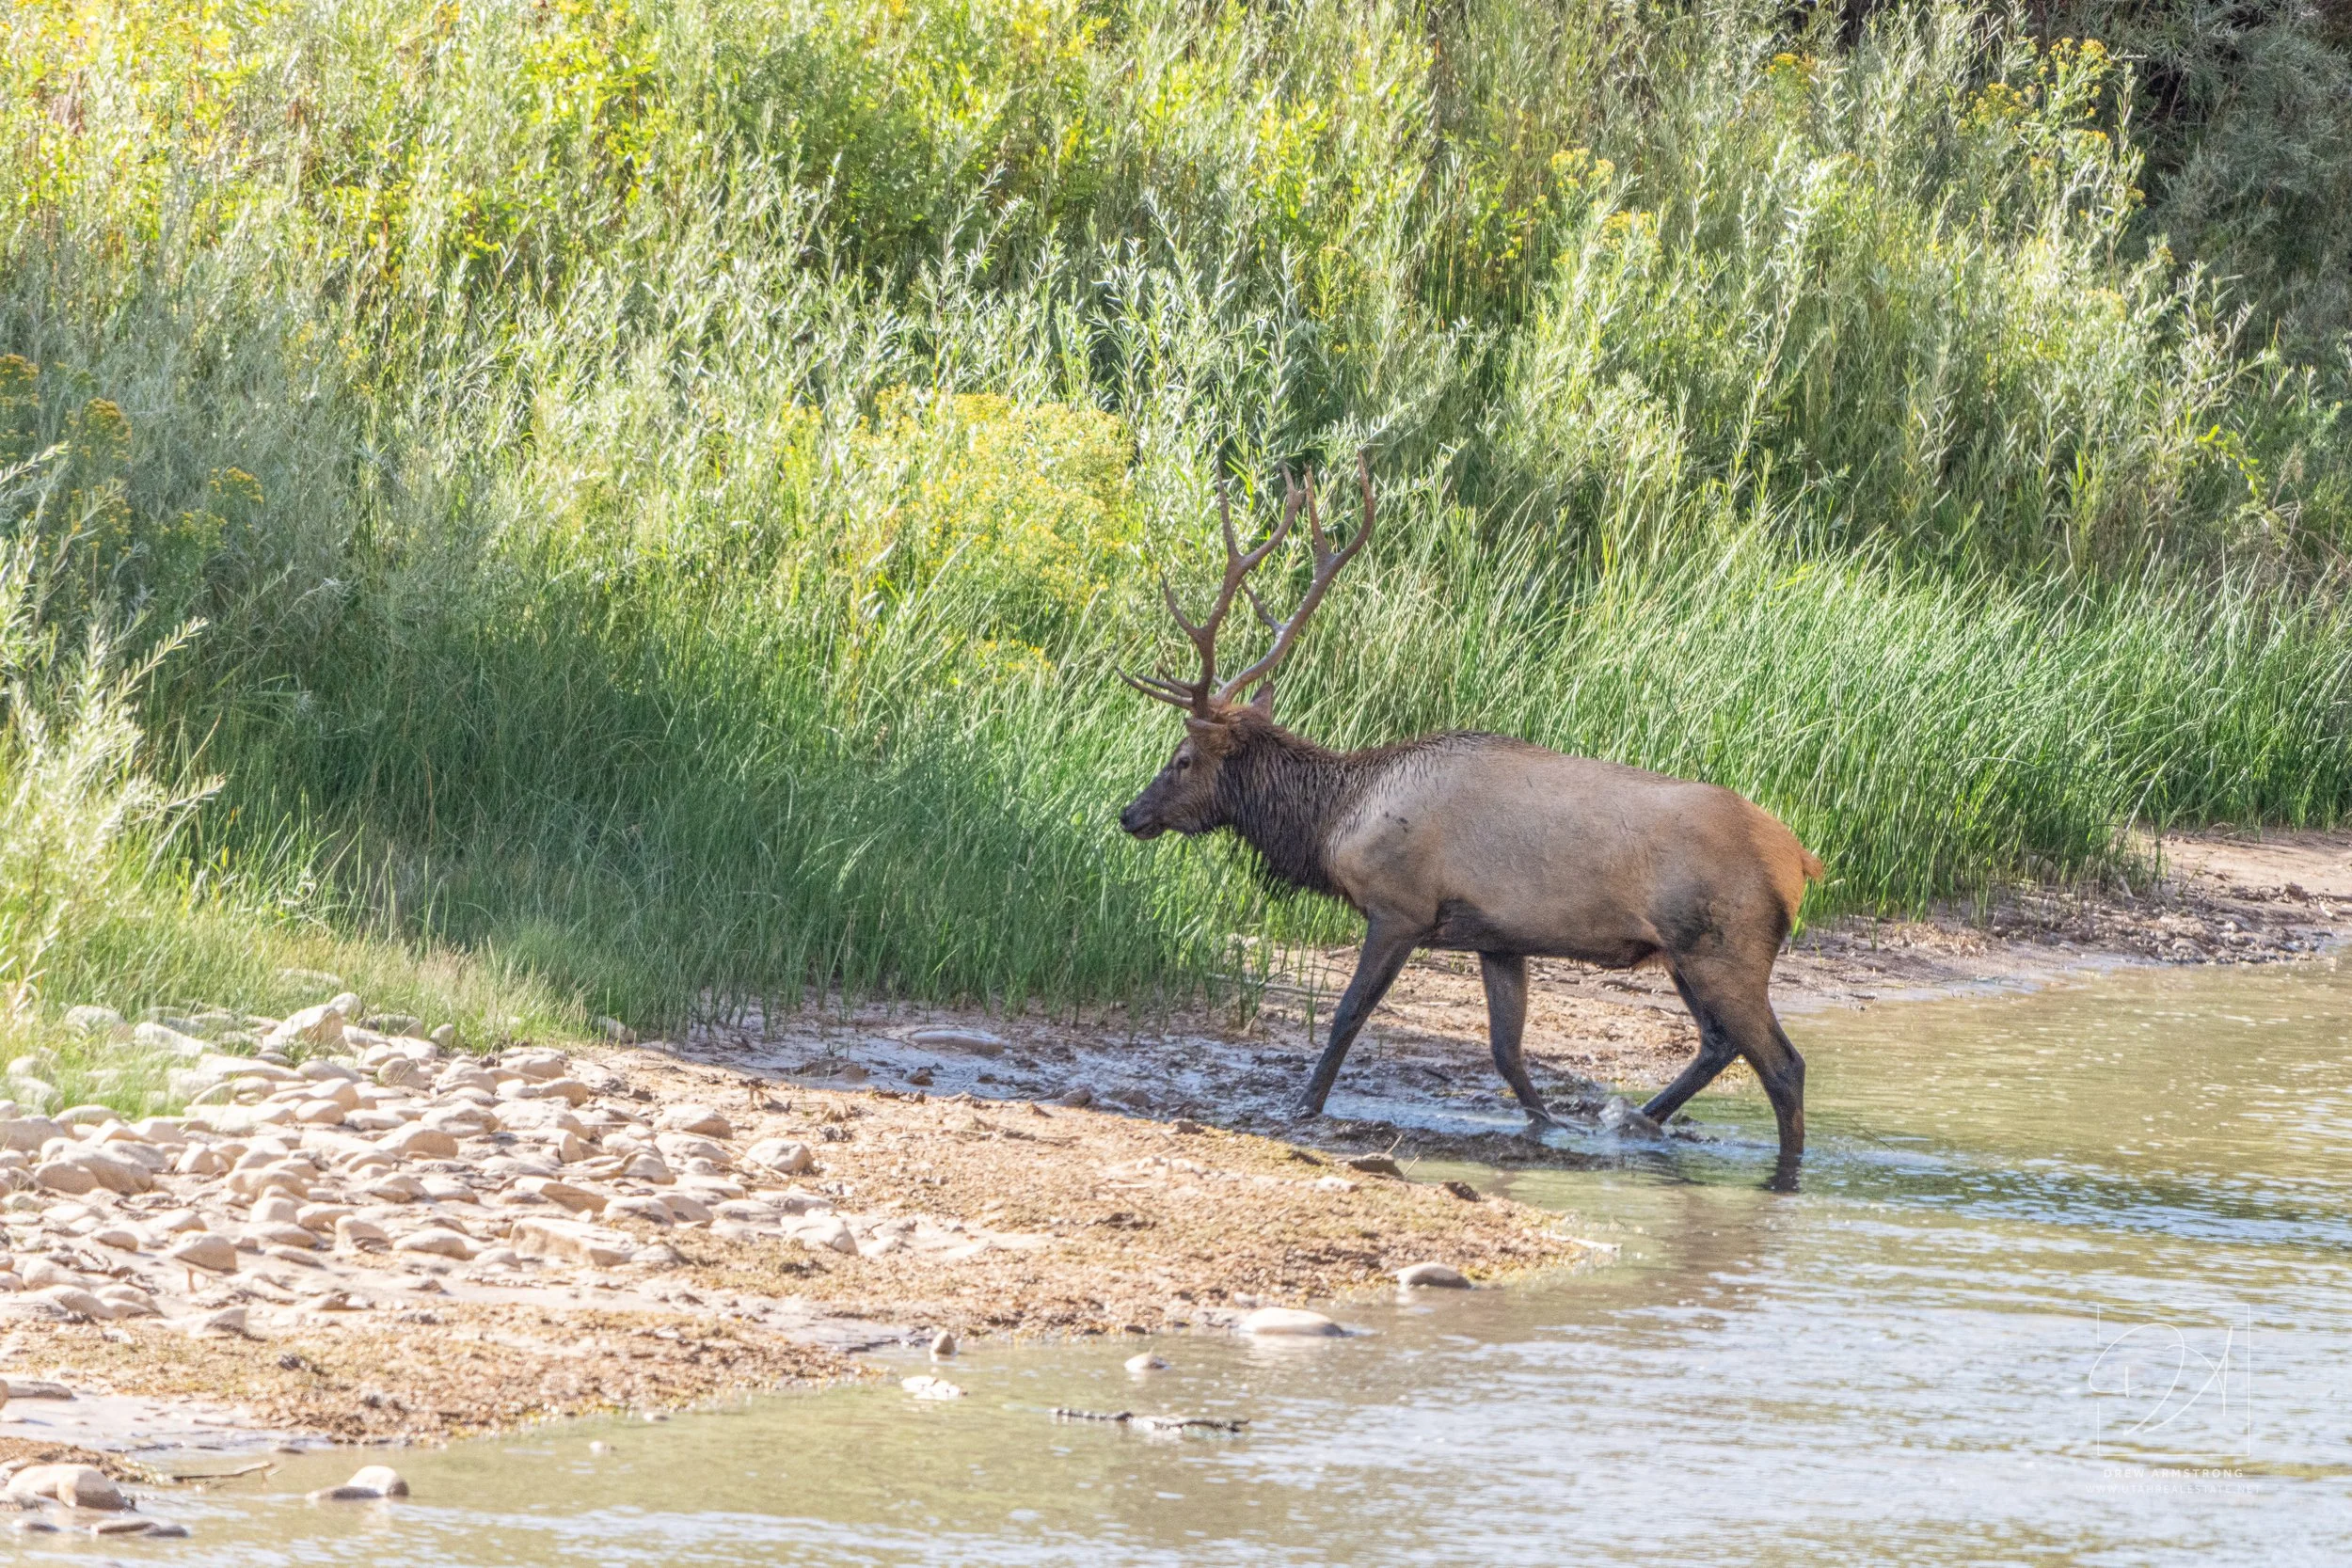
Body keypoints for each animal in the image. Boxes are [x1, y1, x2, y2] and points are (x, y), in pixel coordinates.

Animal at [1116, 455, 1826, 1182]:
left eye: (1181, 759)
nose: (1129, 813)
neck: (1334, 822)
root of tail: (1802, 861)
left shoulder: (1399, 907)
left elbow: (1347, 1014)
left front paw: (1304, 1104)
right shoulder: (1497, 938)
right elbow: (1506, 1052)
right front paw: (1549, 1124)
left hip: (1724, 948)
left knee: (1783, 1065)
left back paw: (1781, 1175)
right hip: (1686, 953)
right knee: (1717, 1044)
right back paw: (1636, 1121)